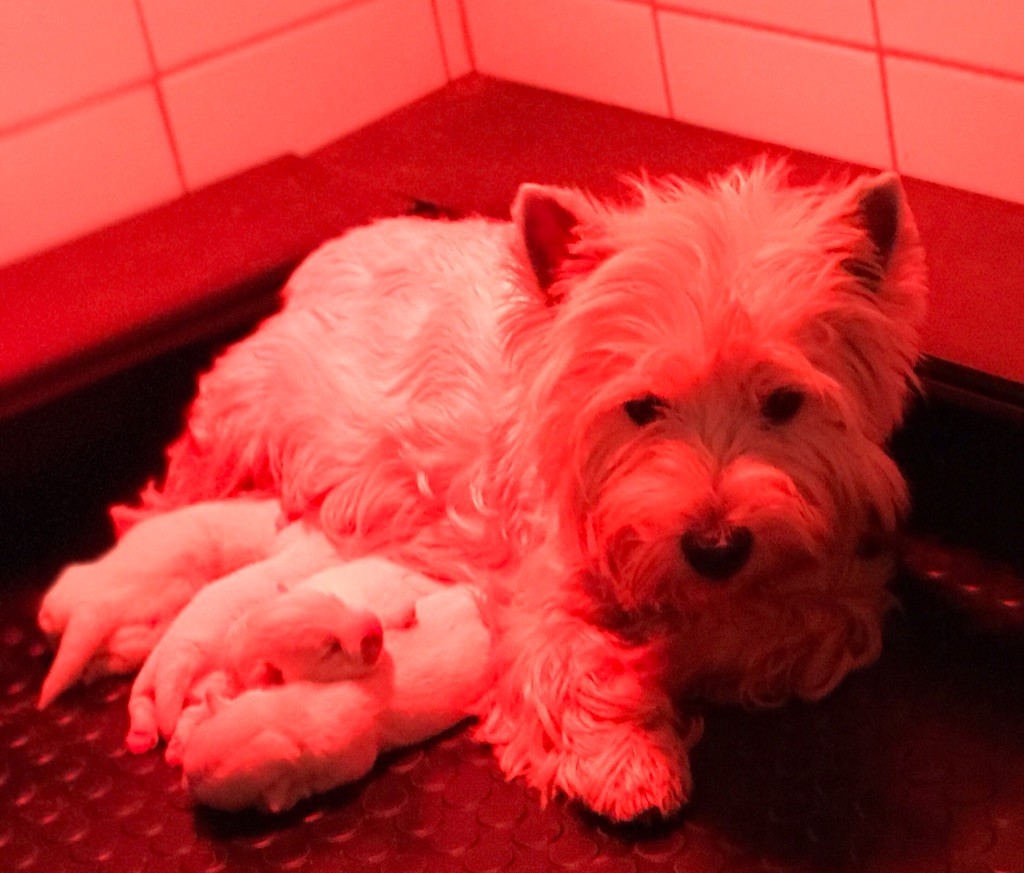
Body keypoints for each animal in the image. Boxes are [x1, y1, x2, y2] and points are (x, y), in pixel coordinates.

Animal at [37, 159, 929, 822]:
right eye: (641, 406)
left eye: (783, 400)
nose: (715, 545)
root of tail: (325, 256)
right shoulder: (540, 572)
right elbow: (561, 652)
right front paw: (628, 761)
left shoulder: (841, 586)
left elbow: (764, 624)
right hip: (246, 415)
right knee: (160, 496)